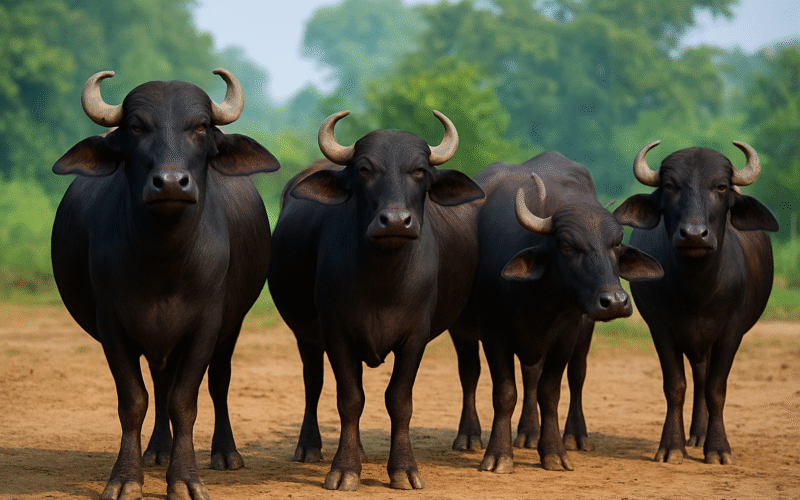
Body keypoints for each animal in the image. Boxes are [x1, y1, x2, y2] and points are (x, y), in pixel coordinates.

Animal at [51, 69, 279, 500]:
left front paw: (186, 479)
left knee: (218, 382)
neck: (164, 264)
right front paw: (126, 477)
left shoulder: (207, 324)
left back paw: (225, 453)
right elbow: (134, 401)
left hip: (231, 326)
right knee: (159, 382)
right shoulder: (112, 325)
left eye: (201, 126)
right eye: (137, 127)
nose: (171, 182)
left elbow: (184, 401)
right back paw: (158, 450)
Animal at [267, 110, 484, 490]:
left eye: (419, 171)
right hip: (305, 334)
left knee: (469, 370)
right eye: (365, 169)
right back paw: (310, 447)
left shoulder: (415, 336)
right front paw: (344, 469)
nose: (395, 221)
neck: (383, 283)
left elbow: (399, 399)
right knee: (313, 381)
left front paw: (404, 470)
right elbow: (350, 399)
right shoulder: (336, 332)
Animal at [451, 152, 663, 473]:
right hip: (462, 332)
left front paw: (553, 452)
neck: (541, 297)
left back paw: (558, 435)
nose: (614, 301)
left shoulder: (567, 332)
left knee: (569, 375)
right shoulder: (492, 331)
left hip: (582, 332)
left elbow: (549, 391)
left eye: (615, 244)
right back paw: (469, 435)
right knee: (470, 375)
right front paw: (498, 455)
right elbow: (504, 392)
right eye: (566, 245)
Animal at [614, 141, 778, 465]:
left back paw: (702, 437)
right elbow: (676, 386)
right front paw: (671, 446)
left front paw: (718, 449)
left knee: (705, 381)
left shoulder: (731, 332)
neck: (698, 291)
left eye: (721, 186)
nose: (693, 234)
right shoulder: (661, 329)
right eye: (670, 186)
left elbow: (716, 389)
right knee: (698, 378)